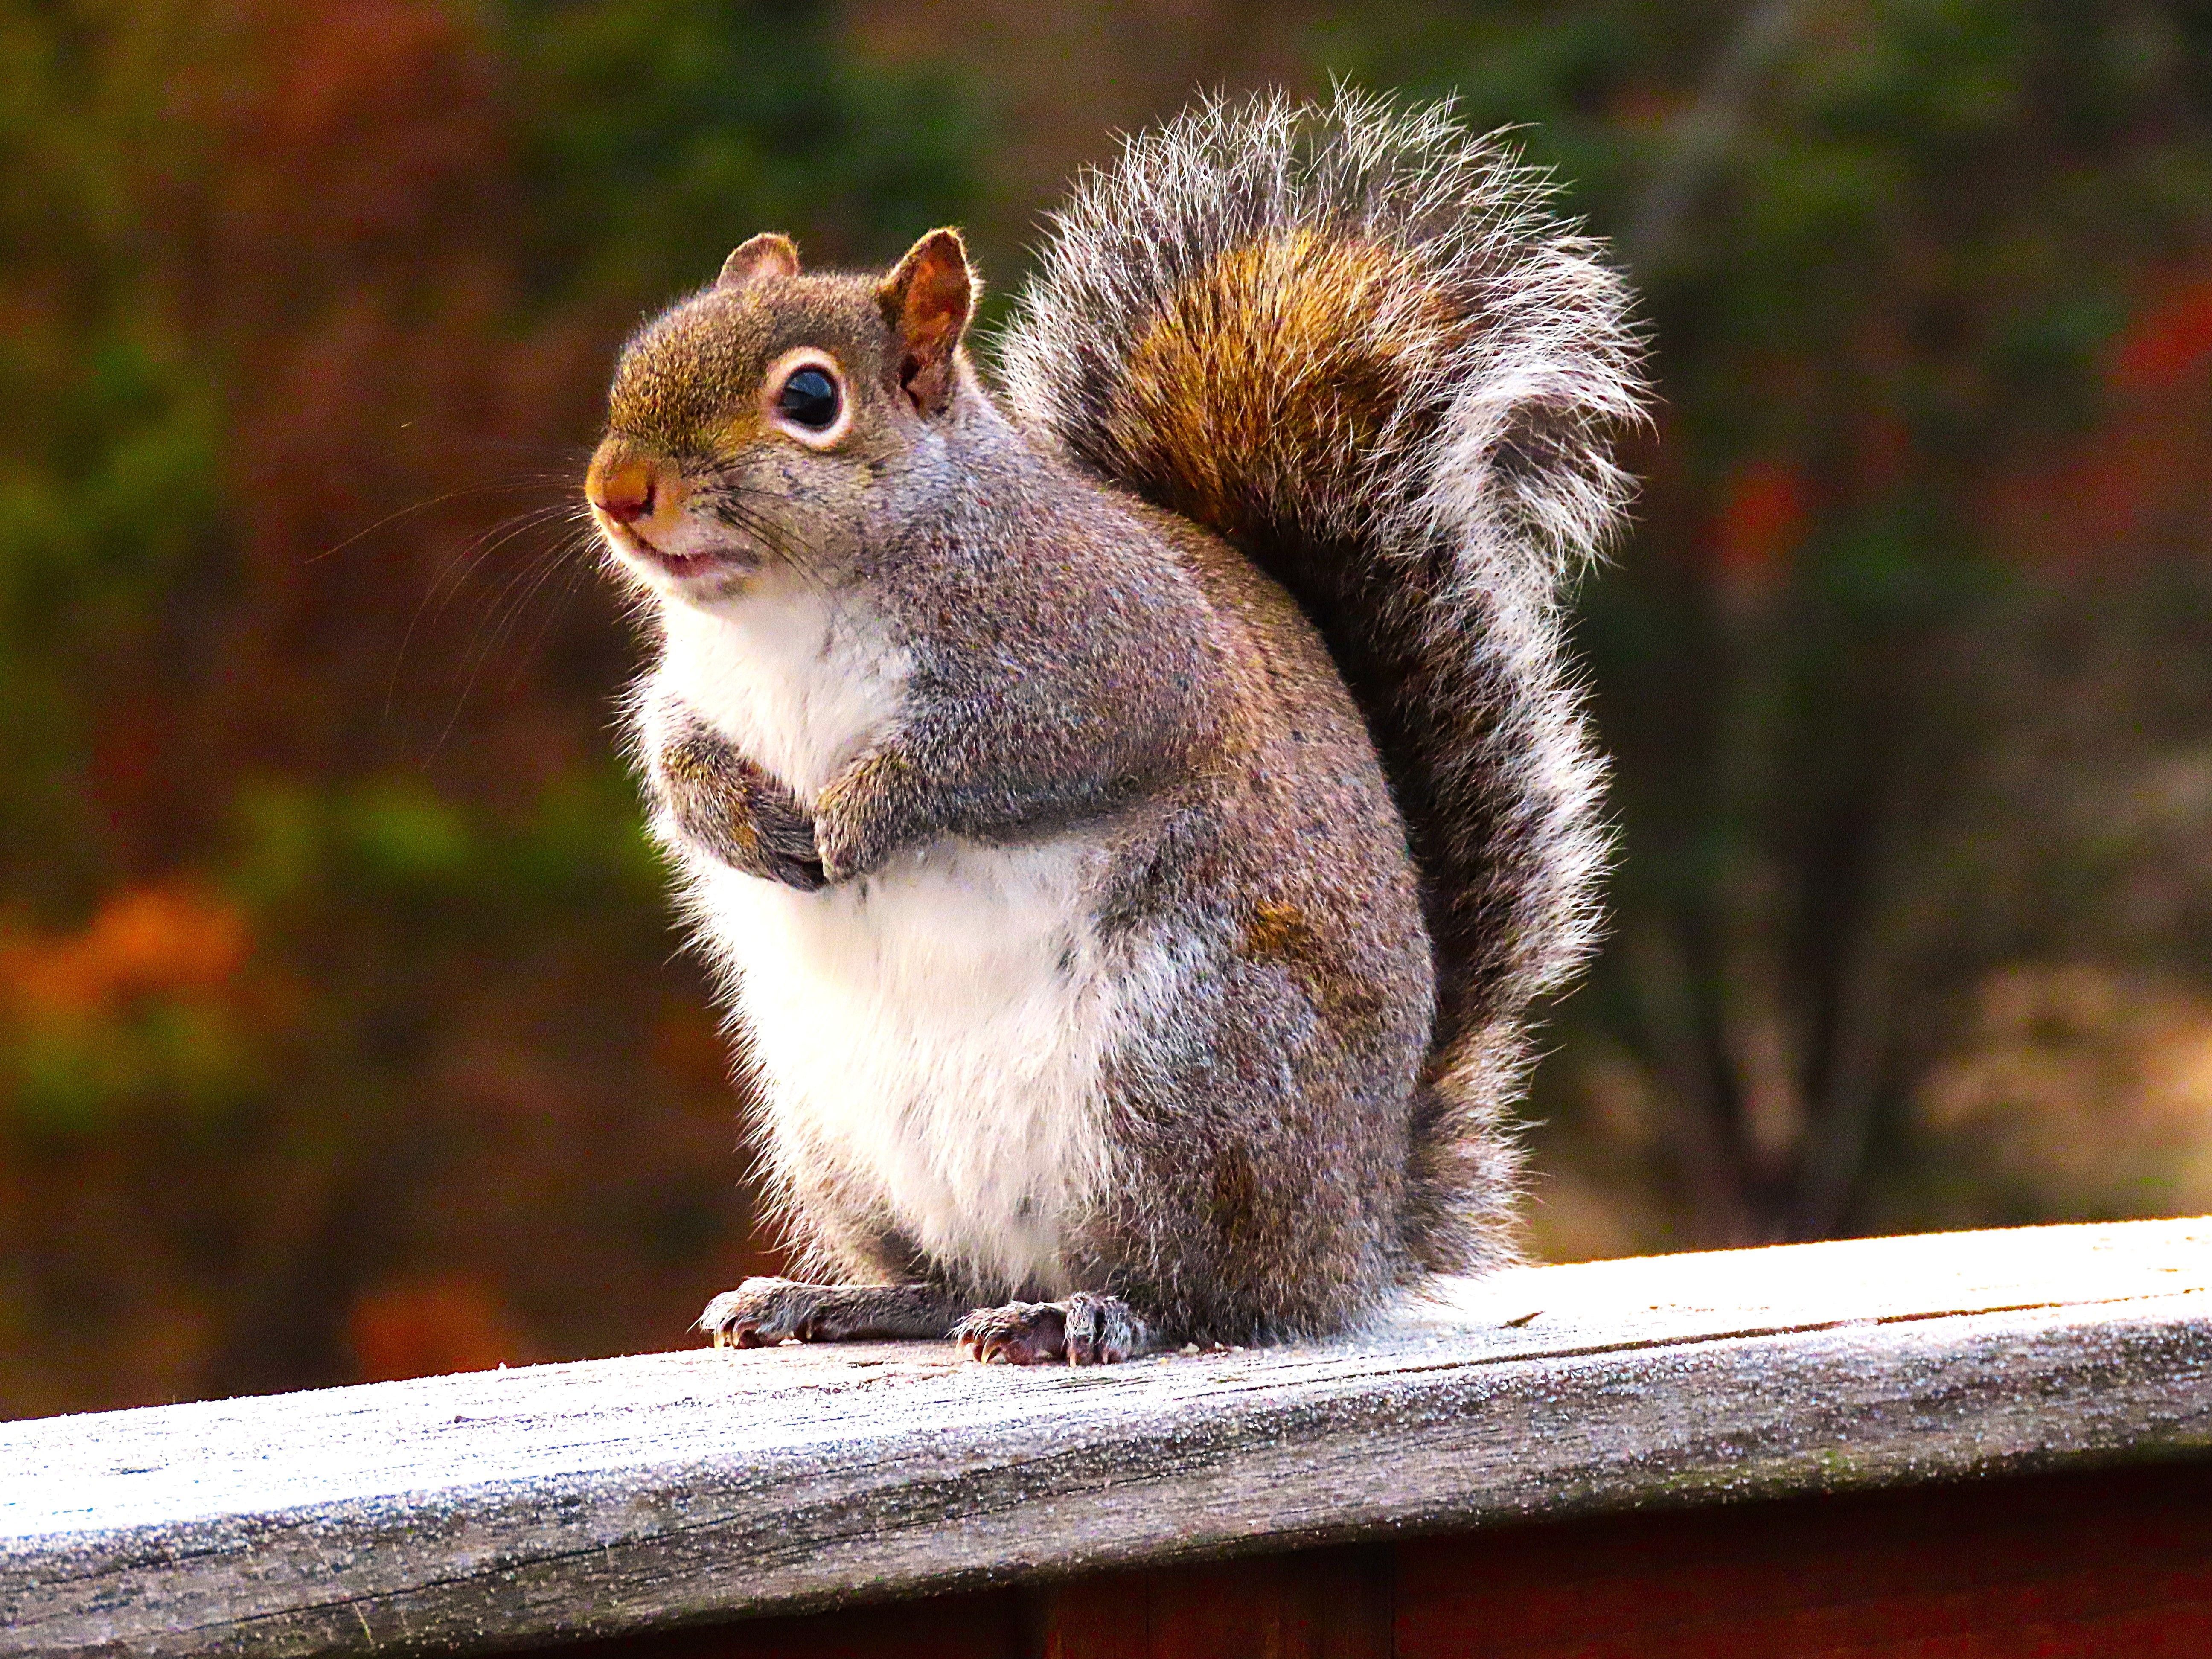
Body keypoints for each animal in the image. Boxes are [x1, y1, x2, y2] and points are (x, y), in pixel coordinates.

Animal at [583, 91, 1642, 1365]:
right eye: (638, 362)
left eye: (809, 400)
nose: (618, 492)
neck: (782, 612)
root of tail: (1361, 1226)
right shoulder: (697, 687)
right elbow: (672, 750)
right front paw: (734, 818)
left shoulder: (1109, 660)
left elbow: (1003, 757)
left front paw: (864, 818)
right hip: (838, 1139)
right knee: (951, 1279)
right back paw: (833, 1299)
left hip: (1185, 1072)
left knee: (1204, 1295)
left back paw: (1084, 1312)